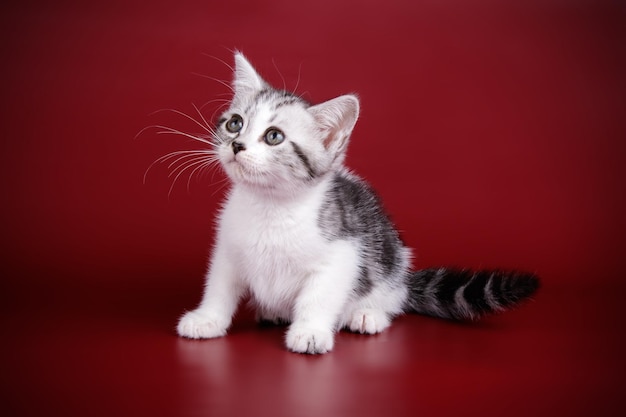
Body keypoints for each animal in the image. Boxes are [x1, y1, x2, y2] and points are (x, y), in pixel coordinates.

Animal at [174, 50, 536, 352]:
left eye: (274, 136)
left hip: (390, 261)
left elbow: (318, 297)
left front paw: (310, 332)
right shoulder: (228, 248)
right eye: (235, 123)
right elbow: (219, 287)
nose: (236, 145)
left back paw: (367, 314)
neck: (270, 206)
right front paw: (207, 319)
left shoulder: (342, 254)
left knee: (393, 297)